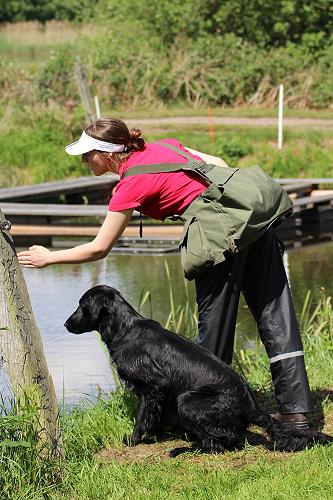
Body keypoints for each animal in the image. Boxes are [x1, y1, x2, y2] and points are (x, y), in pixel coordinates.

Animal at [64, 286, 330, 454]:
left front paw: (134, 438)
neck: (126, 330)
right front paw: (157, 432)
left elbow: (142, 416)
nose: (66, 323)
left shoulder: (154, 385)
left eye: (81, 306)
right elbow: (156, 415)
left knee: (219, 446)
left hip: (187, 401)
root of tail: (253, 408)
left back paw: (183, 448)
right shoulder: (160, 392)